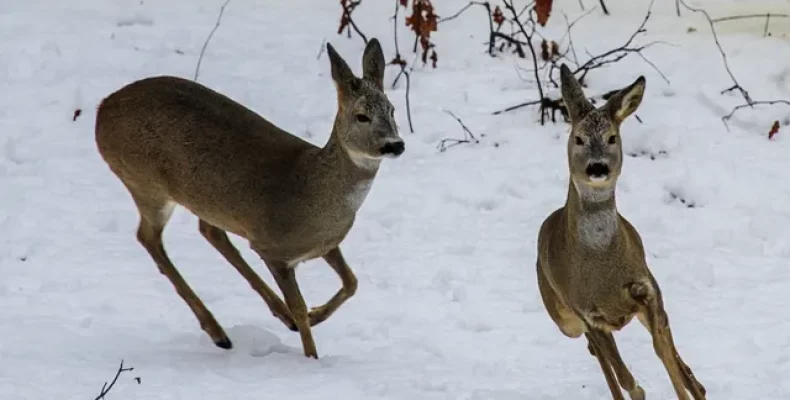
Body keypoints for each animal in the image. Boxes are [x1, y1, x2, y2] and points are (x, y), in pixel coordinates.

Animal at [94, 39, 402, 360]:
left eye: (393, 110)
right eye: (362, 116)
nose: (395, 145)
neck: (312, 189)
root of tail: (101, 108)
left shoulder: (326, 244)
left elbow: (351, 281)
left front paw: (316, 316)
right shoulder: (274, 250)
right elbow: (300, 305)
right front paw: (311, 357)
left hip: (202, 200)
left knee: (209, 231)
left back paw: (274, 318)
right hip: (144, 182)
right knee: (149, 237)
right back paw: (219, 333)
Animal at [536, 64, 708, 398]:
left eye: (612, 137)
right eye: (579, 138)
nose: (598, 167)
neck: (602, 260)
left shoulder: (648, 290)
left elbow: (666, 355)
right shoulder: (587, 312)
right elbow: (628, 379)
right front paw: (640, 389)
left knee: (678, 363)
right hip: (564, 319)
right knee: (598, 355)